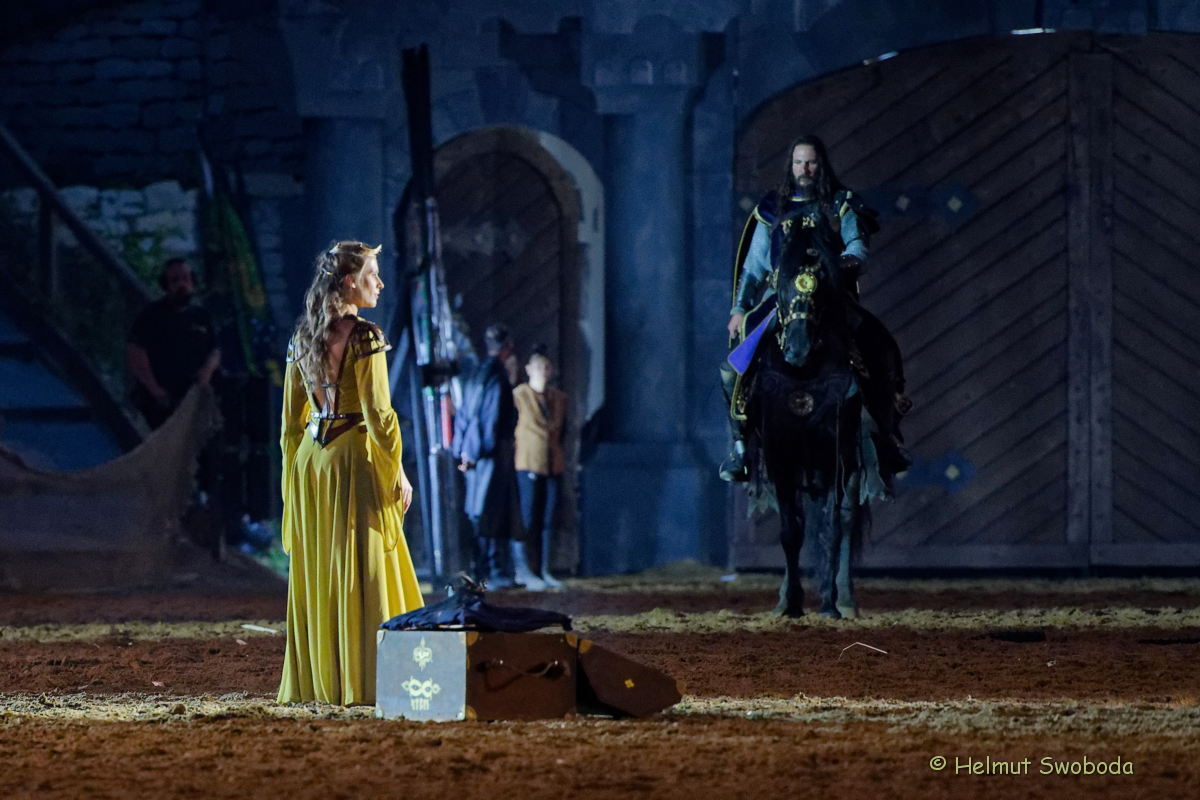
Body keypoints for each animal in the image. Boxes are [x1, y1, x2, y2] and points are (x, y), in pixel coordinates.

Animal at [740, 220, 909, 618]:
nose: (797, 349)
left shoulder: (837, 454)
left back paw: (844, 598)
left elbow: (833, 528)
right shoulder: (781, 455)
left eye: (820, 289)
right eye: (782, 283)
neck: (803, 376)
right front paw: (790, 604)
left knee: (846, 520)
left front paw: (830, 605)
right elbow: (791, 530)